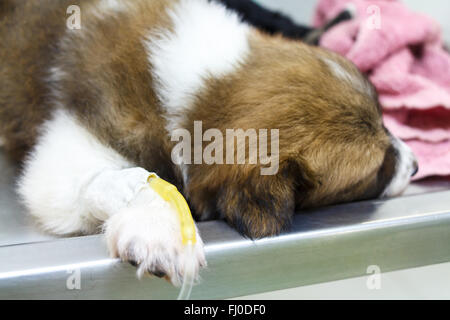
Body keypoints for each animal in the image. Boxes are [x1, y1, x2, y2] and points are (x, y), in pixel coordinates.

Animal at [0, 0, 418, 284]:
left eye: (385, 118)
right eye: (377, 170)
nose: (415, 165)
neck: (205, 89)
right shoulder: (69, 145)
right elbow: (121, 178)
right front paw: (161, 223)